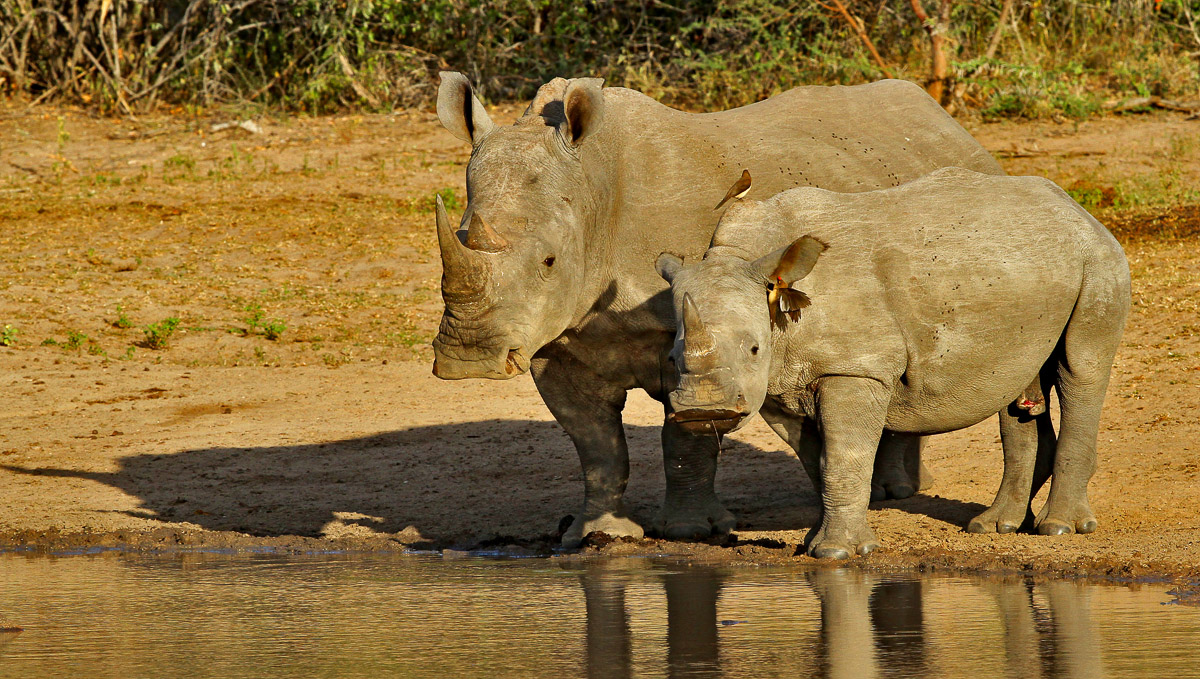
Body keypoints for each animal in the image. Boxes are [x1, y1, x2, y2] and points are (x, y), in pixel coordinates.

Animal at [430, 71, 1005, 546]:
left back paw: (901, 494)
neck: (593, 189)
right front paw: (596, 535)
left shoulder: (691, 322)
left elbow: (685, 434)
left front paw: (688, 530)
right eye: (458, 238)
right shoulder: (556, 339)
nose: (469, 358)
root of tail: (950, 124)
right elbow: (596, 445)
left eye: (548, 261)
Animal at [656, 167, 1130, 558]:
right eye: (672, 357)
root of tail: (1077, 209)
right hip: (1026, 269)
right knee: (1018, 390)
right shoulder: (778, 385)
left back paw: (1059, 529)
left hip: (1098, 260)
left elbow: (844, 456)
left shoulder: (857, 367)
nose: (702, 410)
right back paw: (995, 527)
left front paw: (840, 553)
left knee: (1080, 369)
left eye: (754, 349)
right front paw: (813, 543)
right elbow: (816, 461)